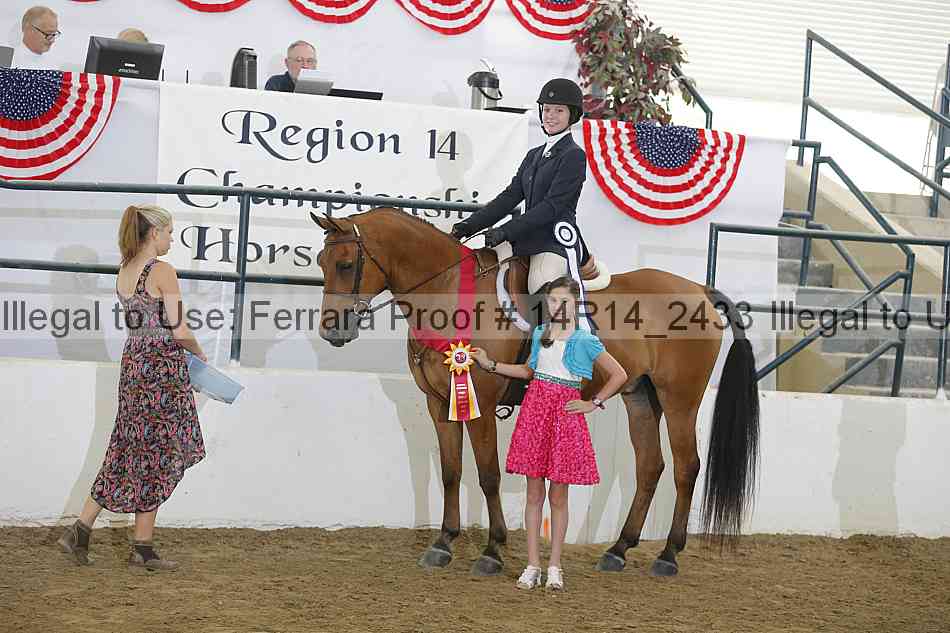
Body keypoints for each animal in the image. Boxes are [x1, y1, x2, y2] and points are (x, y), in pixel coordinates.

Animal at [311, 207, 759, 577]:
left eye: (346, 264)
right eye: (320, 262)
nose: (333, 331)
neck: (449, 293)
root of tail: (699, 289)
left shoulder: (481, 402)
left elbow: (488, 475)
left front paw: (492, 551)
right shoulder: (439, 403)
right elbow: (452, 472)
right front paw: (443, 544)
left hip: (680, 399)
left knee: (686, 467)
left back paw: (667, 556)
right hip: (640, 397)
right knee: (650, 467)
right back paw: (618, 550)